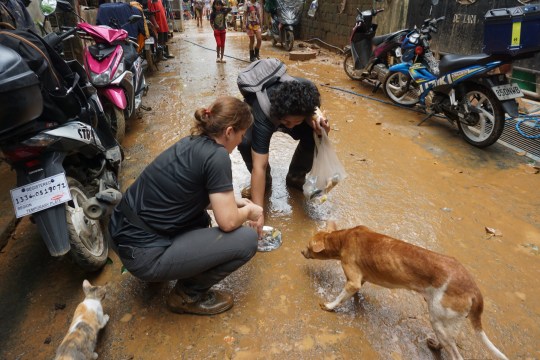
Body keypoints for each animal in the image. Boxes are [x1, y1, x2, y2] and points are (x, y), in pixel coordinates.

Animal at [302, 221, 508, 360]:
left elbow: (341, 296)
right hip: (444, 323)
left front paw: (330, 305)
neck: (343, 238)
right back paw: (435, 345)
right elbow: (356, 291)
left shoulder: (353, 280)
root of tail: (474, 289)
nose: (301, 252)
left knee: (456, 355)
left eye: (307, 246)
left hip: (439, 319)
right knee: (448, 343)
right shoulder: (361, 278)